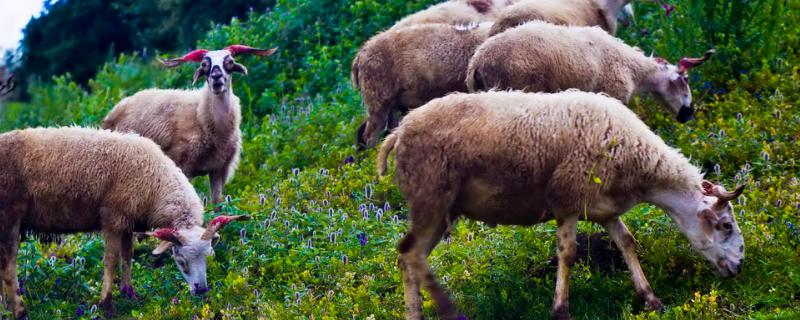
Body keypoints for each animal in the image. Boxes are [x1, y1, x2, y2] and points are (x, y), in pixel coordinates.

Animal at [101, 43, 276, 211]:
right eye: (204, 64)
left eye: (230, 62)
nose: (216, 77)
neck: (202, 116)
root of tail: (116, 109)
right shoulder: (185, 166)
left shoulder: (219, 170)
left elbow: (218, 206)